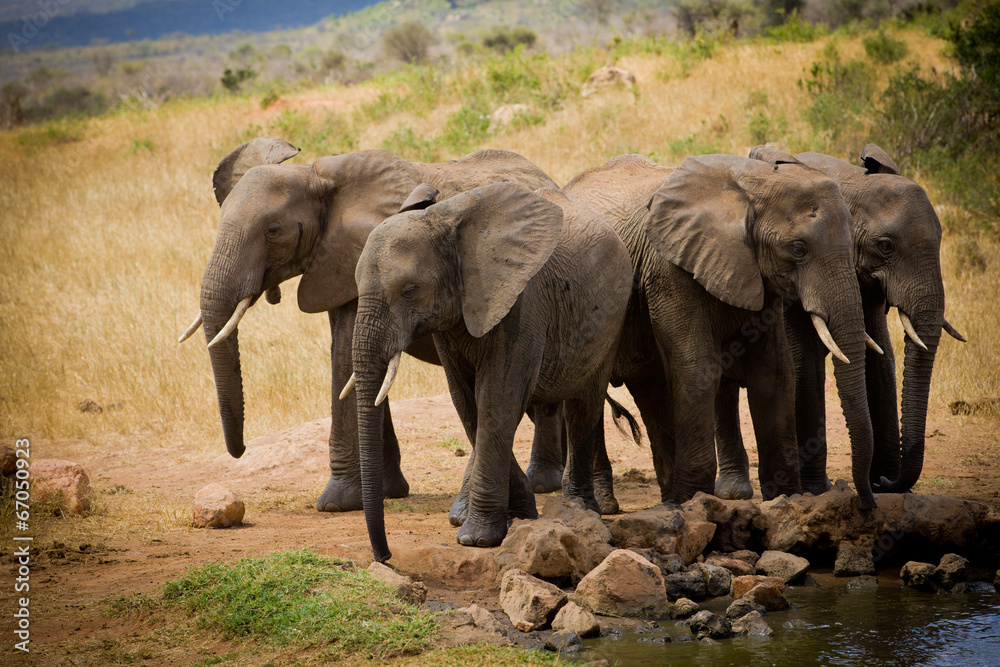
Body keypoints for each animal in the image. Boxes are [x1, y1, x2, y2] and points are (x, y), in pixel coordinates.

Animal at [180, 138, 567, 513]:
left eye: (273, 231)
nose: (240, 450)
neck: (314, 175)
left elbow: (344, 358)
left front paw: (337, 503)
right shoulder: (335, 264)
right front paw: (386, 492)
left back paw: (540, 485)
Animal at [351, 182, 633, 561]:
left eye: (409, 290)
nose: (385, 557)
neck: (445, 220)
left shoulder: (522, 302)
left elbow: (497, 399)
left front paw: (478, 539)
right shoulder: (452, 320)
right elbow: (467, 403)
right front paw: (520, 515)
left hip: (611, 321)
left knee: (583, 408)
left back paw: (581, 511)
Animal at [557, 153, 877, 509]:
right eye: (798, 249)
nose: (867, 503)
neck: (752, 185)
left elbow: (774, 373)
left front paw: (785, 498)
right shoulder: (670, 269)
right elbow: (697, 367)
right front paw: (695, 500)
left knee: (649, 391)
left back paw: (666, 501)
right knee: (593, 393)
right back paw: (607, 505)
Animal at [712, 144, 966, 499]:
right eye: (885, 246)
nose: (883, 483)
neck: (851, 181)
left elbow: (881, 359)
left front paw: (884, 484)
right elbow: (805, 363)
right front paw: (817, 490)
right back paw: (735, 492)